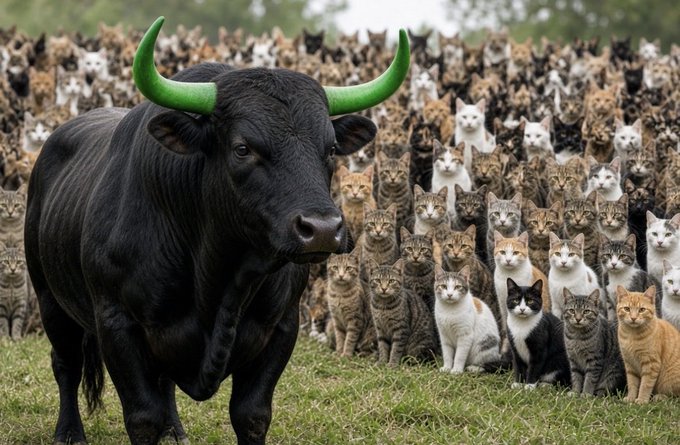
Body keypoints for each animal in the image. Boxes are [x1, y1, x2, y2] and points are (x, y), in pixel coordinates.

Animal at [25, 17, 409, 445]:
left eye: (329, 149)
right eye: (243, 148)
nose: (323, 229)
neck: (219, 278)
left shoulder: (282, 327)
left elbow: (251, 415)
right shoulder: (116, 323)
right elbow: (142, 416)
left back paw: (175, 431)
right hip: (49, 299)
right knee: (66, 364)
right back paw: (68, 432)